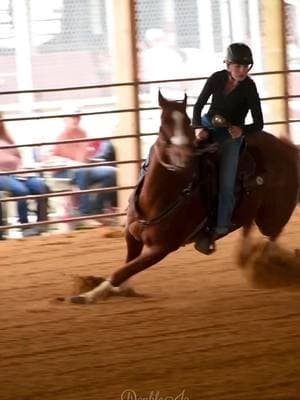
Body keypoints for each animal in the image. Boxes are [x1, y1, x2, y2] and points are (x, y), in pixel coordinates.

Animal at [63, 90, 300, 304]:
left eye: (187, 121)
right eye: (163, 123)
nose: (184, 156)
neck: (158, 198)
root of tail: (288, 148)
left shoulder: (161, 249)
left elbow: (121, 271)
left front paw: (87, 296)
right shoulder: (132, 236)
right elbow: (126, 266)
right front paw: (113, 290)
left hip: (272, 215)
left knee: (272, 235)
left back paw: (267, 263)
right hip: (253, 210)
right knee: (250, 227)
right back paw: (247, 255)